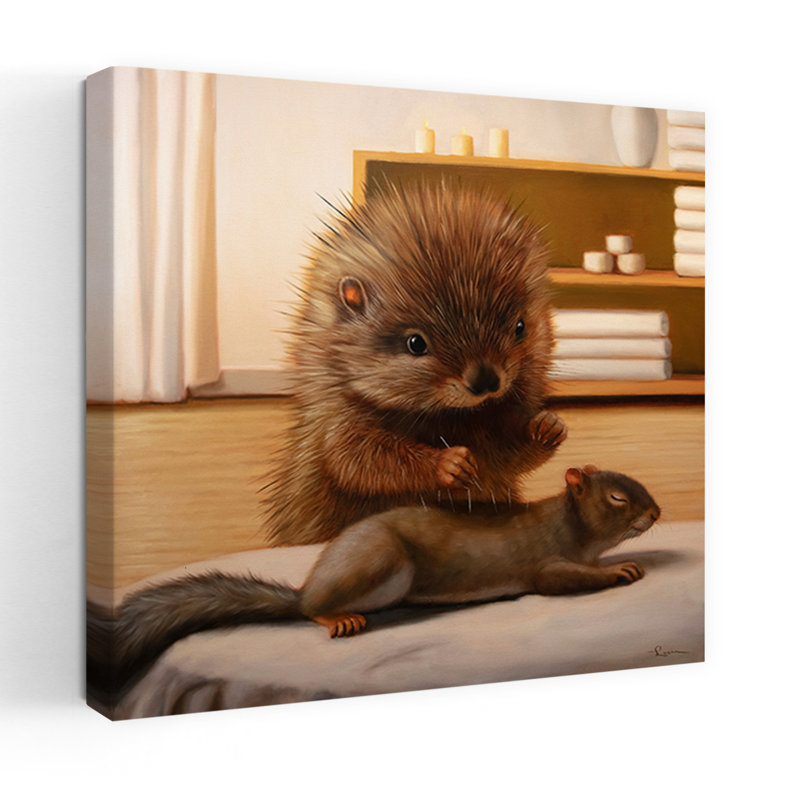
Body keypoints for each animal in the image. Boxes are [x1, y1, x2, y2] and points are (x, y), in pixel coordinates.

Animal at [88, 467, 659, 698]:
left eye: (639, 485)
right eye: (616, 497)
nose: (656, 512)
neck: (568, 524)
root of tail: (308, 586)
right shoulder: (546, 562)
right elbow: (561, 577)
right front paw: (619, 570)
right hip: (381, 562)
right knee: (313, 610)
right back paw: (334, 616)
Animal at [262, 180, 565, 546]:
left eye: (519, 326)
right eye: (416, 343)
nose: (486, 381)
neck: (450, 418)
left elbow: (508, 458)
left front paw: (547, 427)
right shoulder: (336, 418)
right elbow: (354, 457)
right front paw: (449, 464)